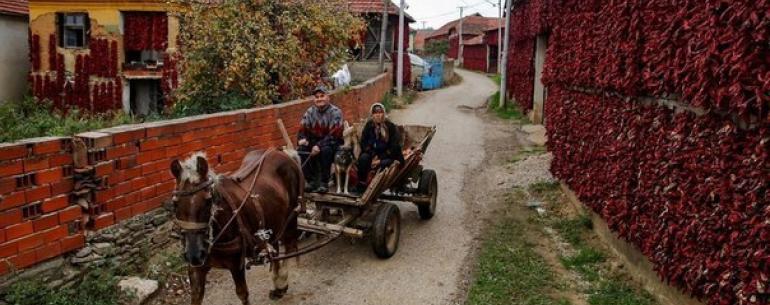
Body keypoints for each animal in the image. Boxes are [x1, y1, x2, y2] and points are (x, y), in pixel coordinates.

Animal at [170, 148, 302, 304]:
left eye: (208, 201)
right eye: (175, 203)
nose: (194, 255)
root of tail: (279, 152)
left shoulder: (236, 263)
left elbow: (242, 293)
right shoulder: (196, 269)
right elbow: (196, 296)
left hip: (291, 215)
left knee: (289, 246)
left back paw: (282, 281)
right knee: (274, 247)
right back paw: (278, 287)